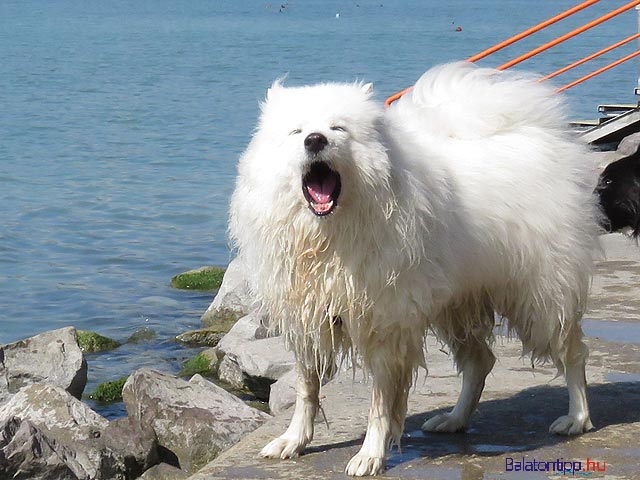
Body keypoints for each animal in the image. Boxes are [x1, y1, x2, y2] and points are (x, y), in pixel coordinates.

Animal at [229, 62, 600, 476]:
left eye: (338, 128)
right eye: (296, 132)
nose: (314, 140)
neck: (328, 236)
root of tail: (538, 135)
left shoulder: (385, 323)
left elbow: (379, 404)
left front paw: (370, 455)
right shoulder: (310, 317)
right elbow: (307, 390)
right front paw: (293, 441)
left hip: (540, 294)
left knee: (573, 354)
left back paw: (577, 419)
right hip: (456, 303)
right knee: (480, 362)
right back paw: (454, 419)